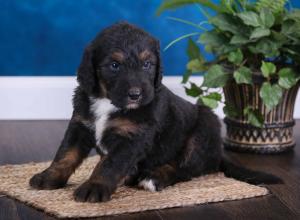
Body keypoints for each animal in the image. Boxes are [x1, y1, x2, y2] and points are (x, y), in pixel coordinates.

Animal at [28, 22, 282, 203]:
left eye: (147, 64)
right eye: (114, 65)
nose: (136, 95)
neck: (108, 102)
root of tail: (218, 154)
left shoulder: (133, 137)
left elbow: (109, 163)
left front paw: (94, 187)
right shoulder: (81, 124)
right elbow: (65, 154)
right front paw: (48, 177)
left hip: (203, 129)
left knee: (183, 168)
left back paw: (154, 177)